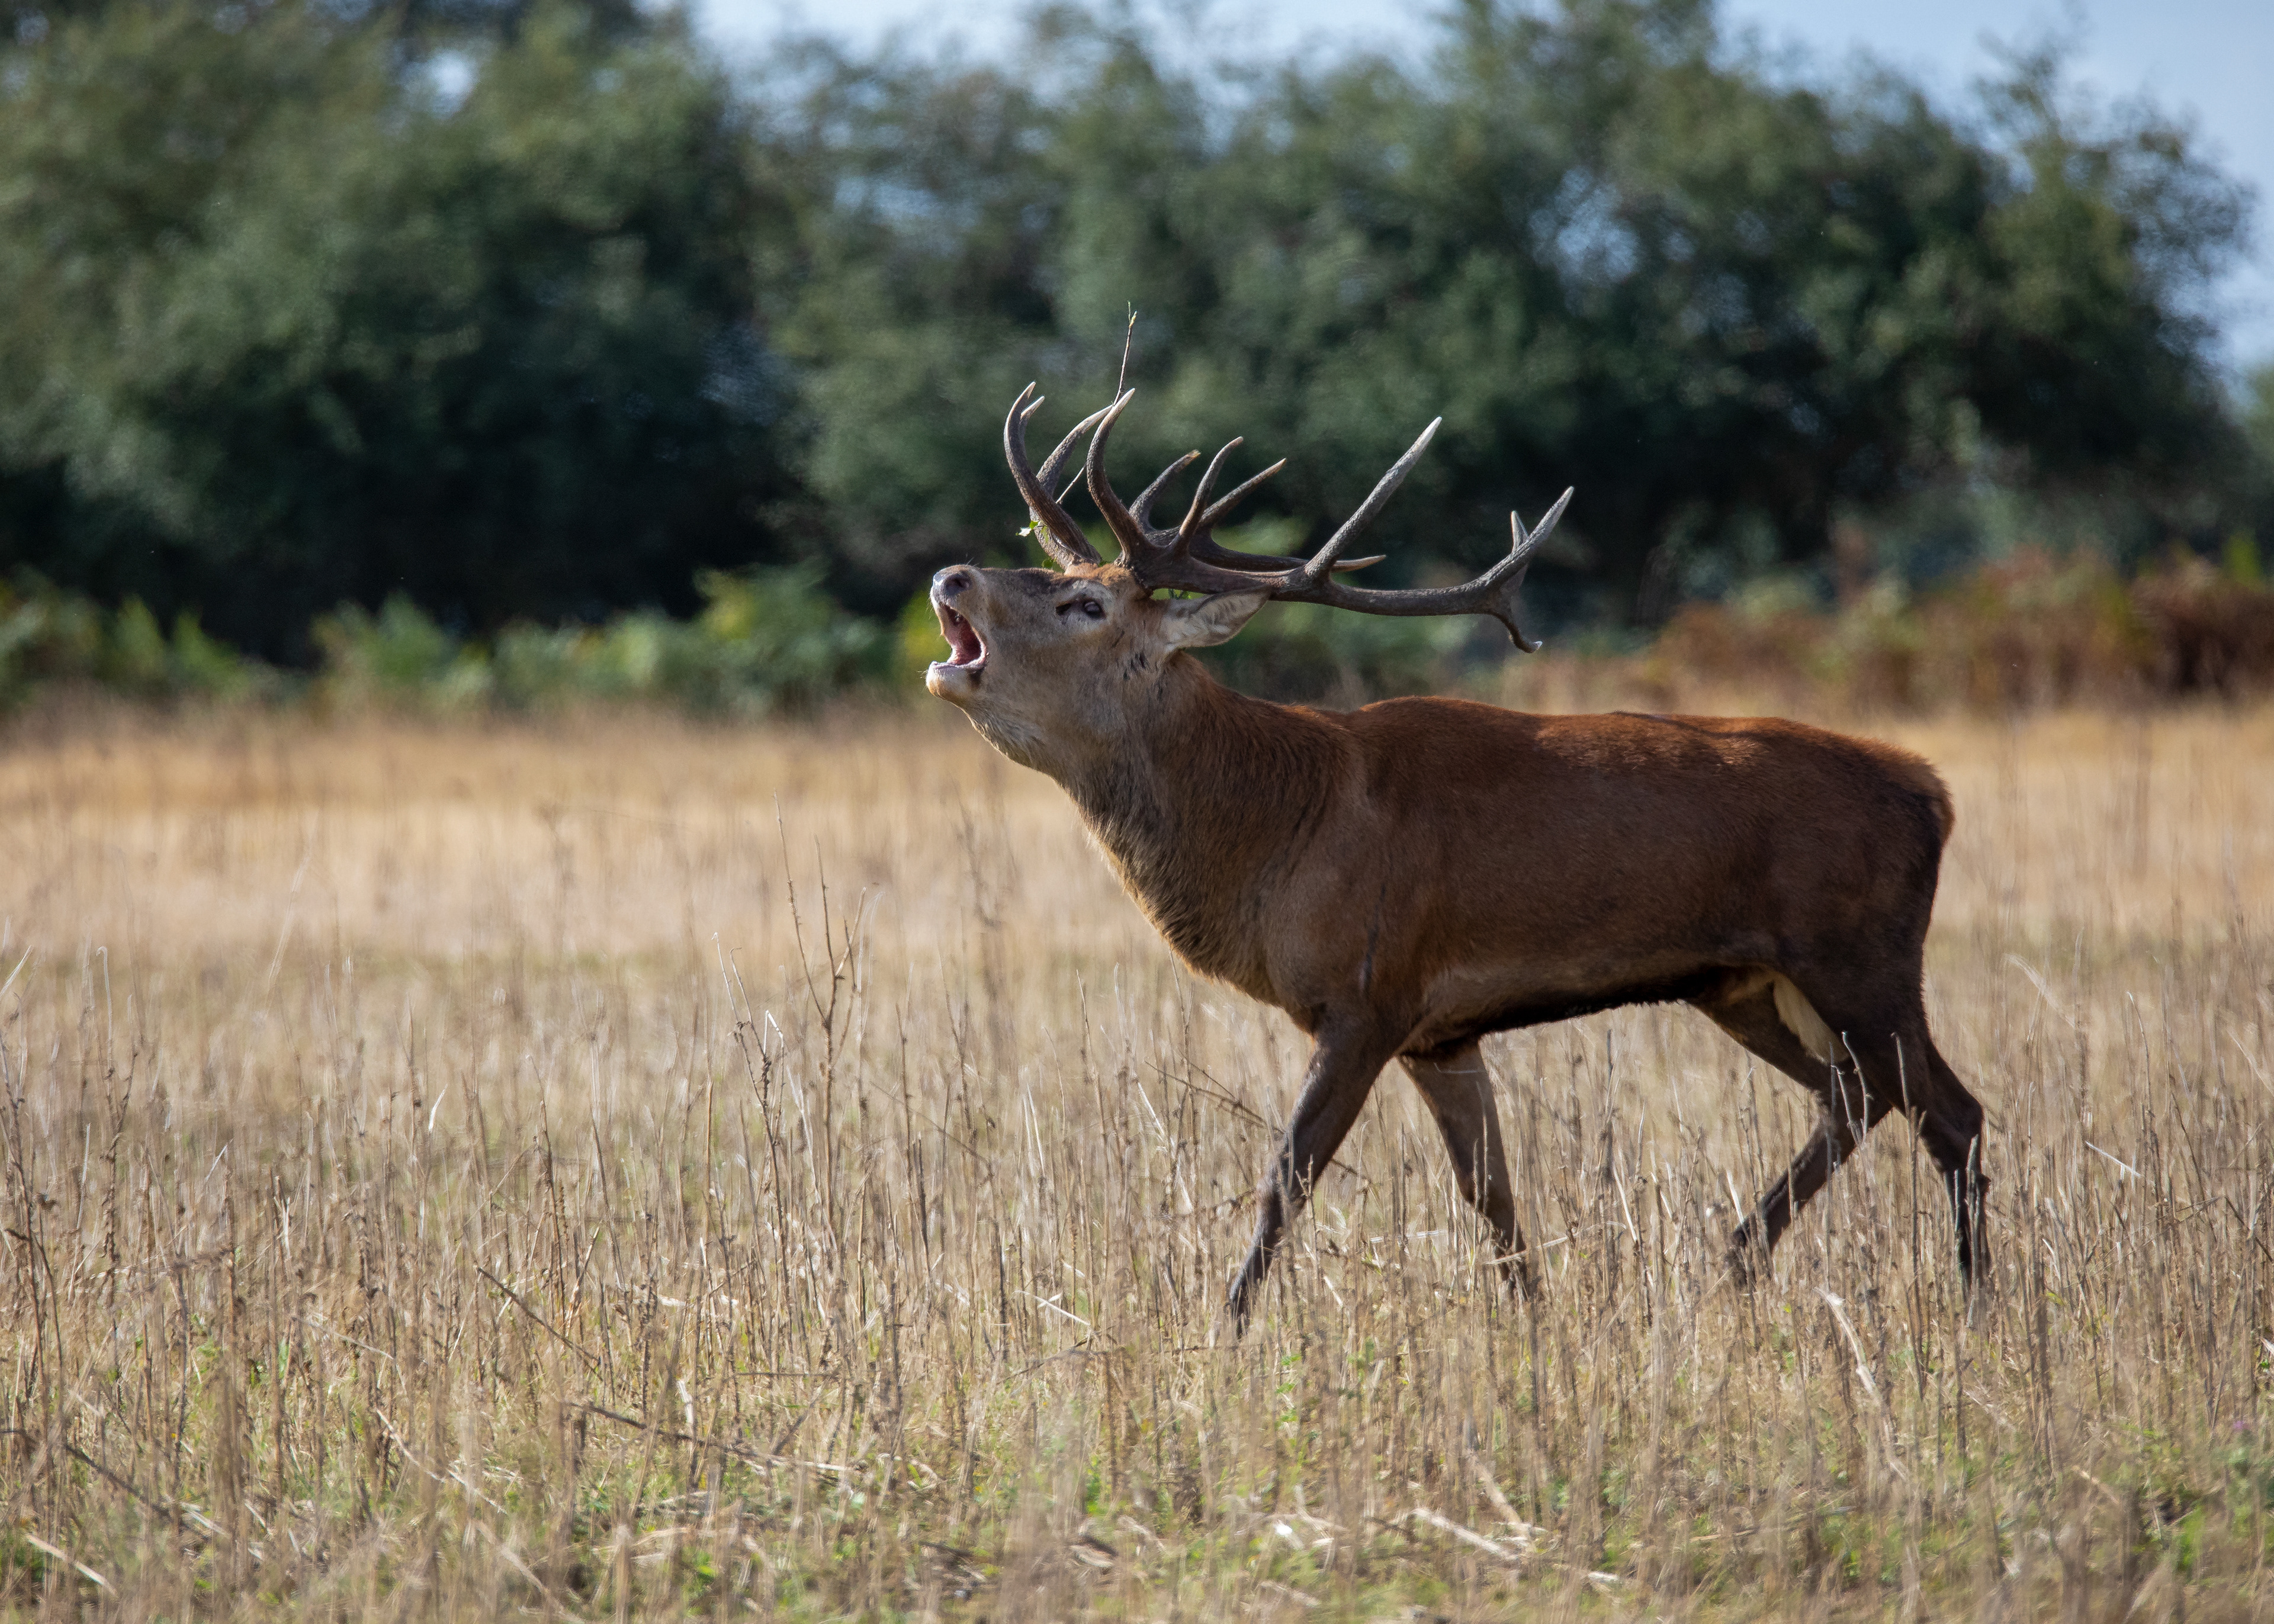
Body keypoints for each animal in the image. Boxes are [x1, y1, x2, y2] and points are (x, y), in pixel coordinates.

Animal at [923, 383, 1990, 1332]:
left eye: (1085, 605)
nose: (952, 576)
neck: (1278, 831)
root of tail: (1933, 792)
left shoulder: (1371, 994)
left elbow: (1284, 1180)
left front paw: (1222, 1336)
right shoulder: (1442, 1030)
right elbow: (1493, 1198)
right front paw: (1535, 1329)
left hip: (1860, 953)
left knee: (1952, 1111)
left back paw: (1979, 1313)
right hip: (1746, 983)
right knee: (1859, 1097)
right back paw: (1733, 1260)